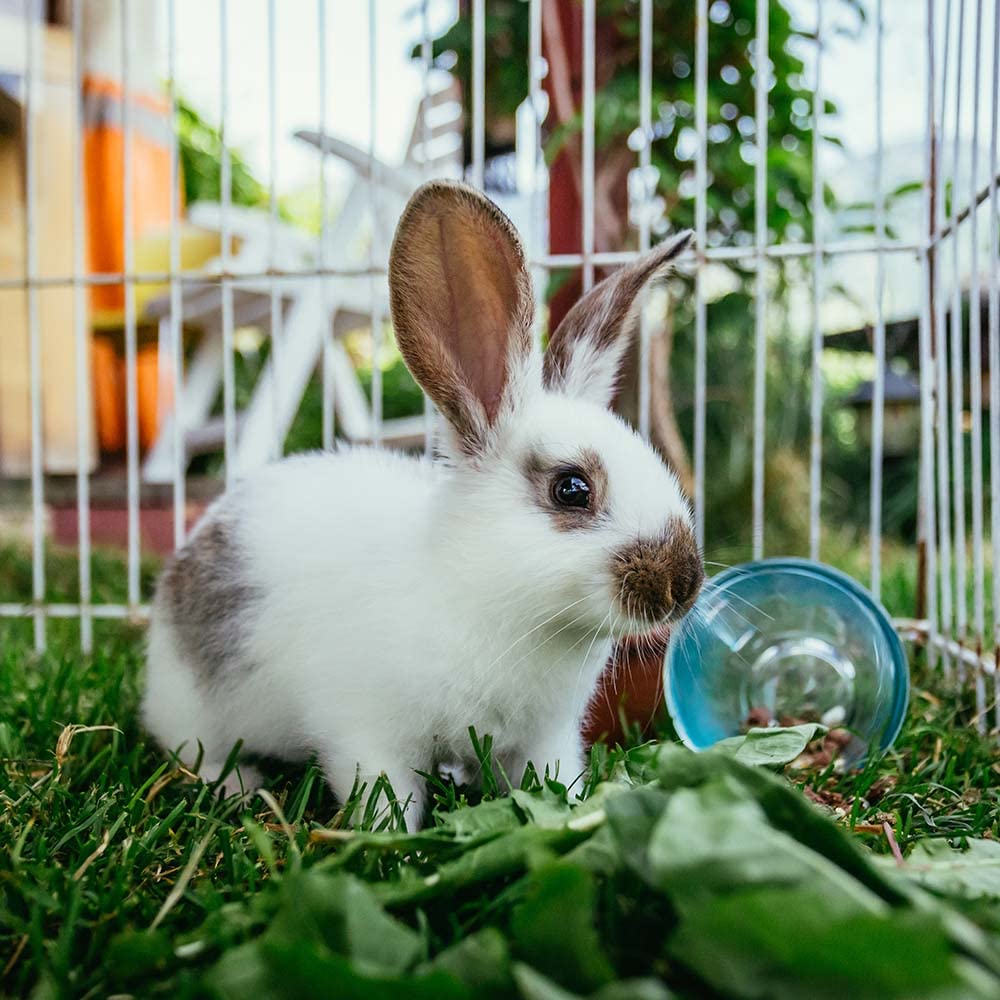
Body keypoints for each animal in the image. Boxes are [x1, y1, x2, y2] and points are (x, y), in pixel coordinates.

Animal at [142, 180, 704, 829]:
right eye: (572, 489)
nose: (683, 584)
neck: (492, 599)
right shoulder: (367, 732)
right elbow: (385, 795)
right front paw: (387, 839)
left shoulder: (548, 737)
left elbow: (554, 778)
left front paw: (570, 813)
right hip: (193, 709)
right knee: (194, 752)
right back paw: (237, 783)